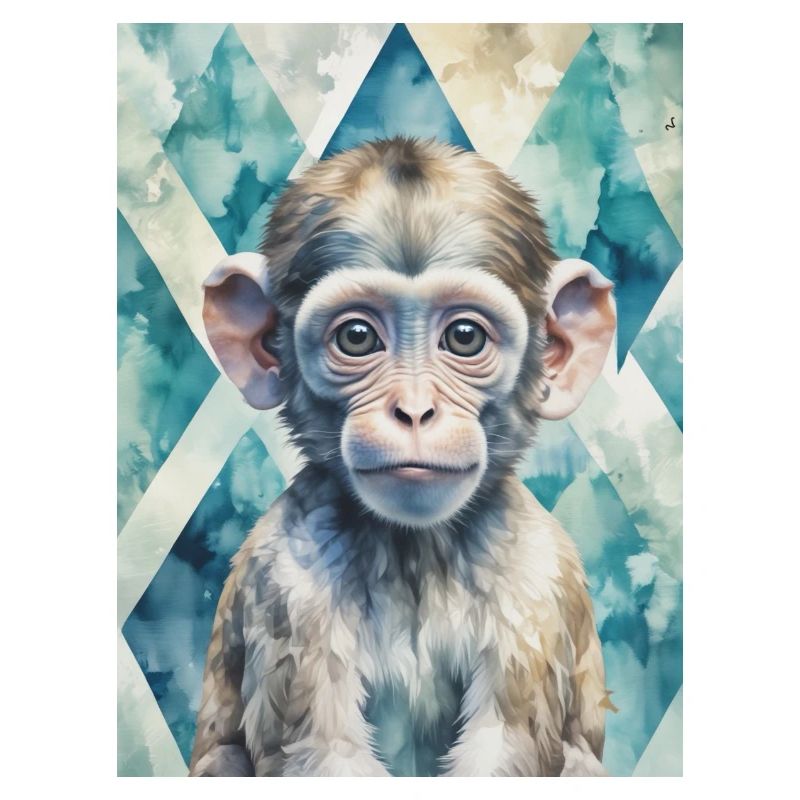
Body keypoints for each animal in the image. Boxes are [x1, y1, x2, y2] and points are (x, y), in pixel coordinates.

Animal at [189, 137, 617, 777]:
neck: (414, 550)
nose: (414, 411)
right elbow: (321, 754)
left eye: (464, 337)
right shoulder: (287, 579)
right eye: (357, 337)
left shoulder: (536, 577)